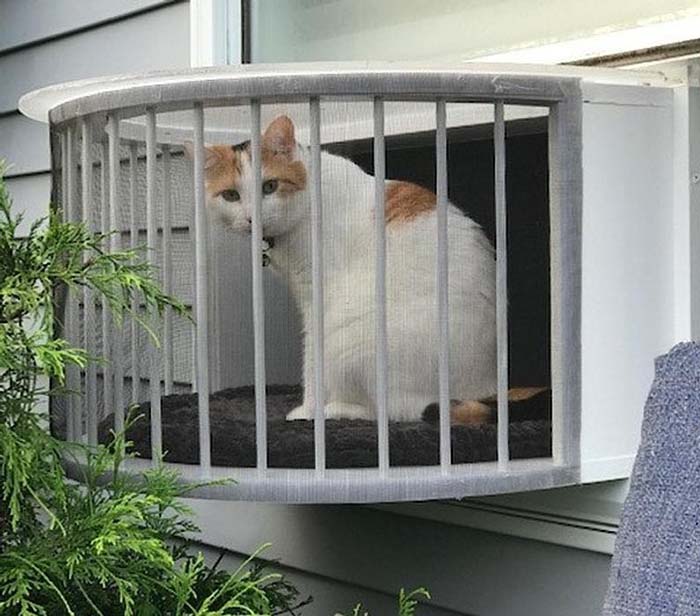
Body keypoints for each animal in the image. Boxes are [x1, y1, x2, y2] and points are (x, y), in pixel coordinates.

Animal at [187, 114, 498, 424]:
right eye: (230, 195)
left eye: (269, 187)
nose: (253, 218)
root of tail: (488, 387)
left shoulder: (317, 299)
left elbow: (312, 361)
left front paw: (308, 411)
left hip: (351, 337)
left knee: (397, 410)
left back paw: (335, 409)